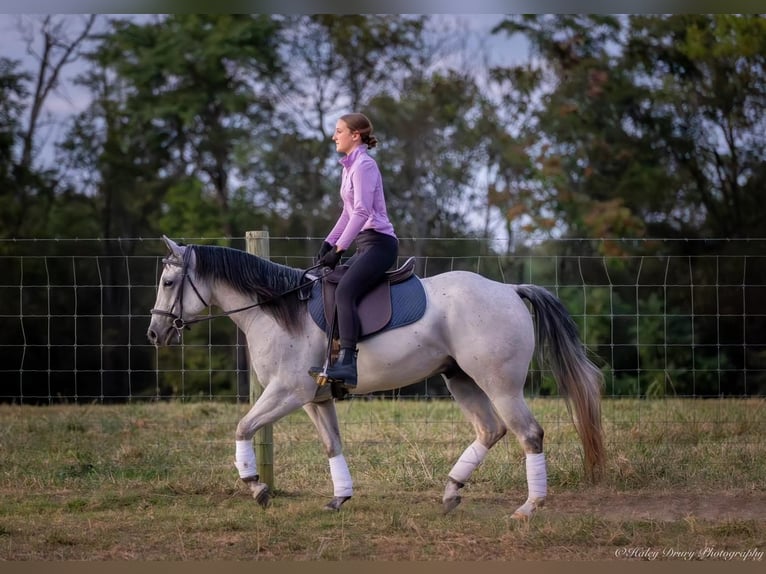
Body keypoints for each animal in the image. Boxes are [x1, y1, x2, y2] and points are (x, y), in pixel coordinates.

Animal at [148, 236, 608, 520]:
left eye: (169, 282)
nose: (155, 333)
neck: (278, 310)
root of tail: (510, 290)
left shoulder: (288, 392)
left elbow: (242, 427)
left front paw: (256, 486)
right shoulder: (316, 399)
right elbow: (332, 445)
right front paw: (340, 497)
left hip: (500, 384)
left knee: (528, 433)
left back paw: (529, 507)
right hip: (460, 379)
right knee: (490, 430)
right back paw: (451, 491)